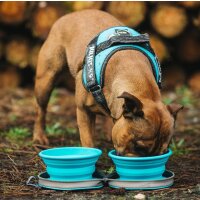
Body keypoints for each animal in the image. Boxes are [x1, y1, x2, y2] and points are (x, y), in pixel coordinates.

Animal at [33, 9, 183, 156]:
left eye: (163, 151)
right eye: (139, 147)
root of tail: (72, 14)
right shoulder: (83, 111)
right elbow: (88, 141)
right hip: (46, 79)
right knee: (41, 109)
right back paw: (39, 136)